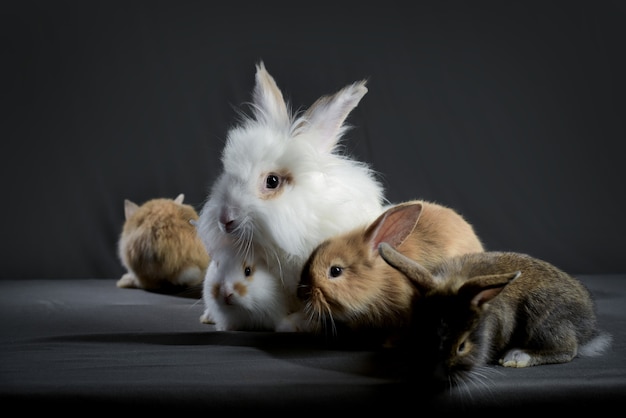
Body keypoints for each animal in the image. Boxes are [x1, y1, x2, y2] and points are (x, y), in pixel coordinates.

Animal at [376, 243, 608, 386]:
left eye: (462, 346)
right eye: (421, 336)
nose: (438, 374)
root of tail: (589, 325)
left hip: (543, 316)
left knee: (567, 349)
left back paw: (517, 357)